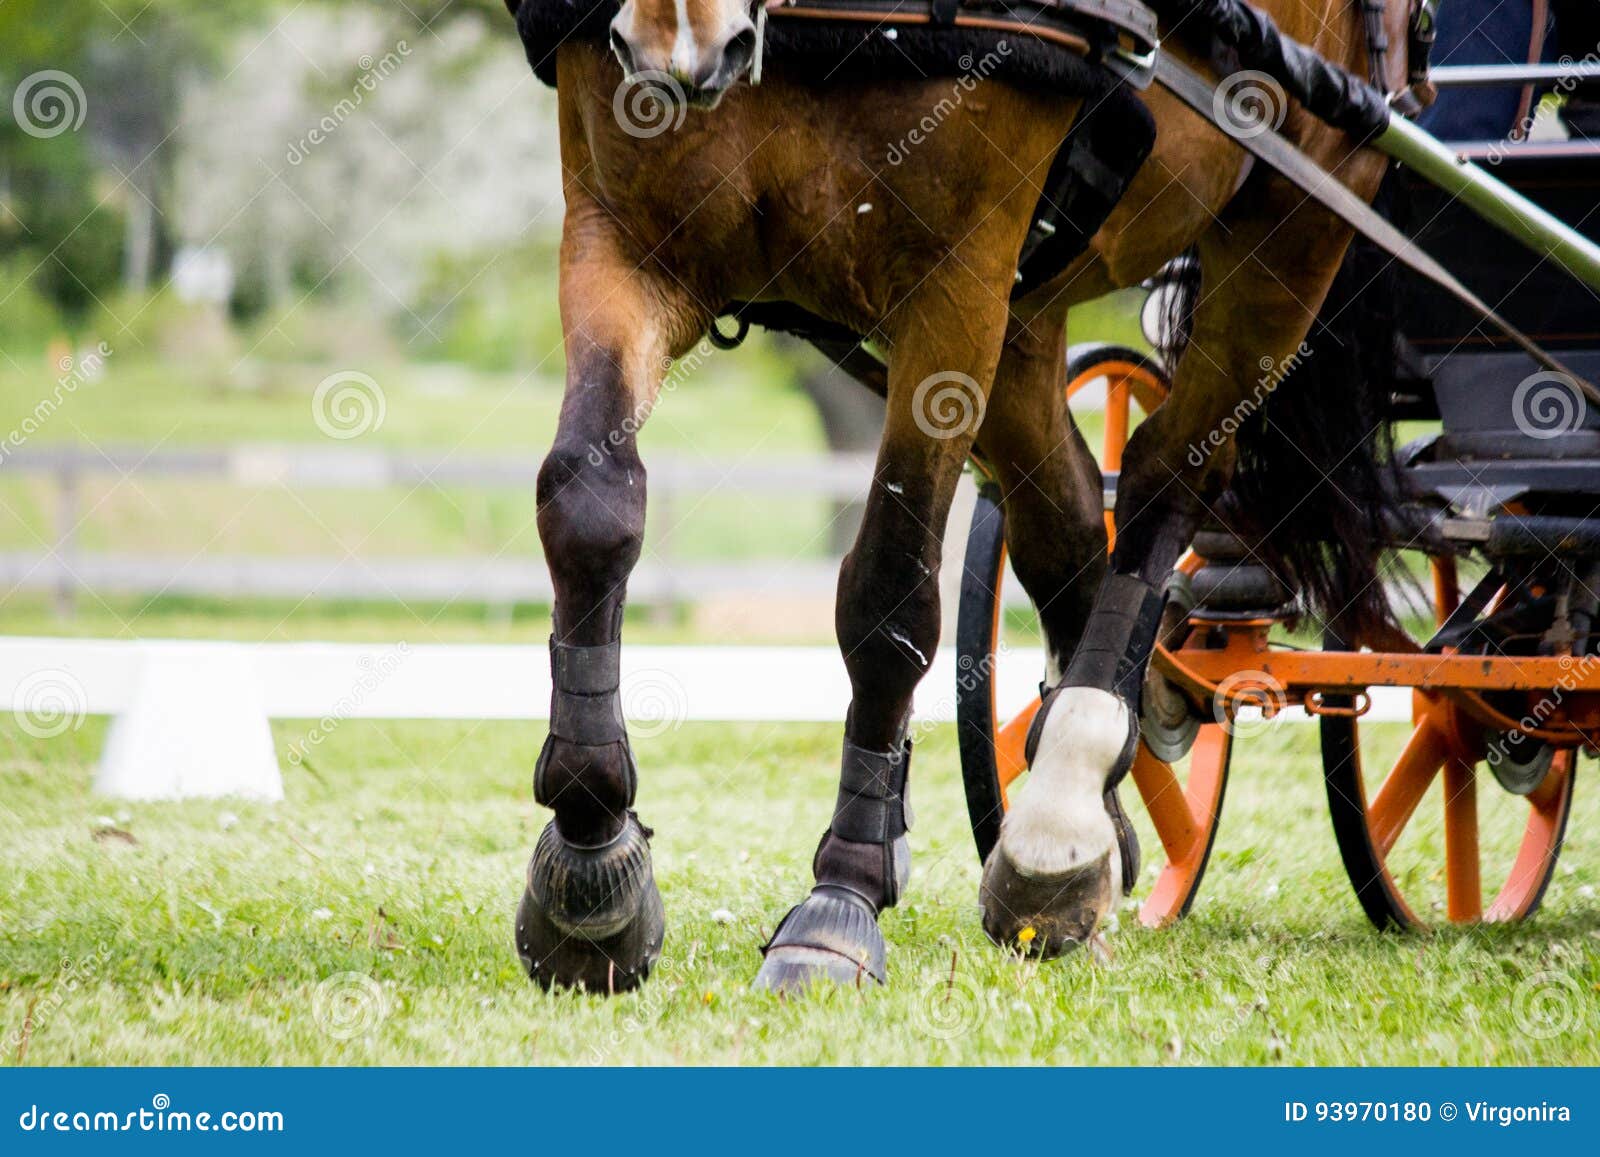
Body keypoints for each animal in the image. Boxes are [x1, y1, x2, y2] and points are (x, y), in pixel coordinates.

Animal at [506, 0, 1411, 994]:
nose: (681, 47)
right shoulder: (621, 241)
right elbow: (588, 503)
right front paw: (591, 860)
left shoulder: (956, 284)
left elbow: (889, 591)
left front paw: (843, 895)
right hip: (1033, 312)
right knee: (1066, 518)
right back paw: (1107, 783)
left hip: (1294, 228)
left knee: (1165, 475)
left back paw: (1060, 814)